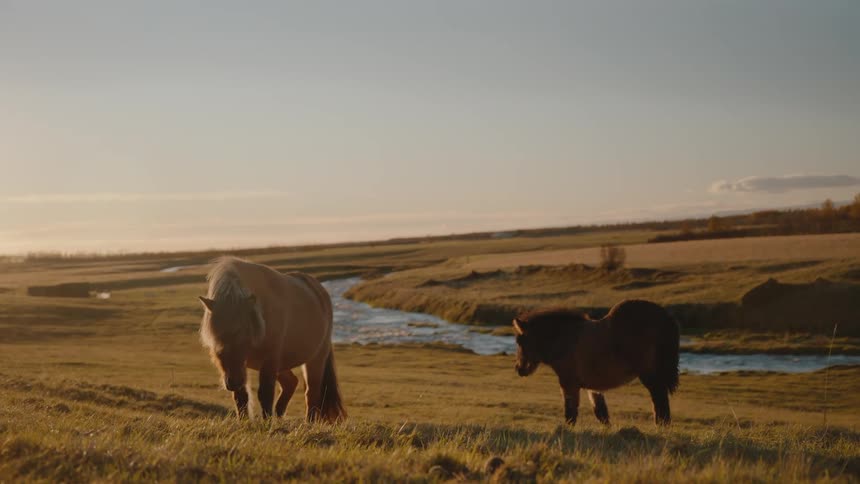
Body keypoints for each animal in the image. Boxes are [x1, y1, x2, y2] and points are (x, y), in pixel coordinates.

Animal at [198, 256, 346, 422]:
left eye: (243, 333)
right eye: (217, 337)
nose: (233, 382)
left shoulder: (268, 360)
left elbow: (265, 393)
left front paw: (267, 422)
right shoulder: (240, 366)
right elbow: (241, 396)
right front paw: (244, 421)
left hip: (316, 358)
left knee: (312, 393)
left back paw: (309, 422)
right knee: (291, 383)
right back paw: (280, 414)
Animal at [512, 299, 679, 426]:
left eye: (520, 342)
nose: (519, 369)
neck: (565, 338)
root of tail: (665, 317)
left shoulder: (568, 383)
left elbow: (570, 412)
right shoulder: (592, 387)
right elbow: (601, 413)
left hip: (649, 375)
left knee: (660, 400)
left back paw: (661, 426)